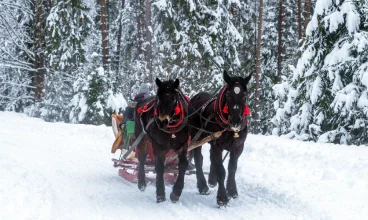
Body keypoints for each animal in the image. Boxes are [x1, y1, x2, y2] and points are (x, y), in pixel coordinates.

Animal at [190, 70, 253, 206]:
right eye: (228, 94)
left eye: (244, 95)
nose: (236, 120)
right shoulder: (217, 145)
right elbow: (221, 171)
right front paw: (222, 198)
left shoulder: (238, 147)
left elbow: (232, 168)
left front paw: (232, 190)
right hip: (196, 136)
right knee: (198, 158)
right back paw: (203, 186)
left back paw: (212, 179)